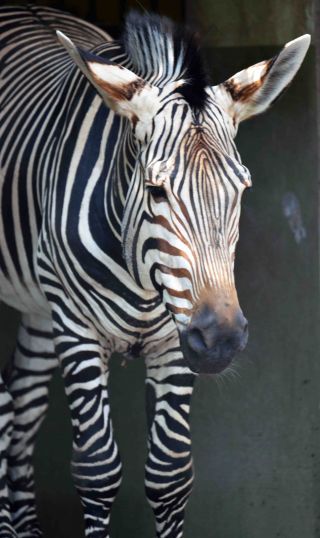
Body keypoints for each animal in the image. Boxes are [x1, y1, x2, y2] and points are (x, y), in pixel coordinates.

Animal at [0, 5, 310, 536]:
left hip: (39, 305)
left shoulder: (177, 336)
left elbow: (169, 475)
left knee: (22, 413)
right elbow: (98, 469)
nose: (223, 338)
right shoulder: (76, 327)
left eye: (242, 190)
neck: (143, 280)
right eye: (155, 190)